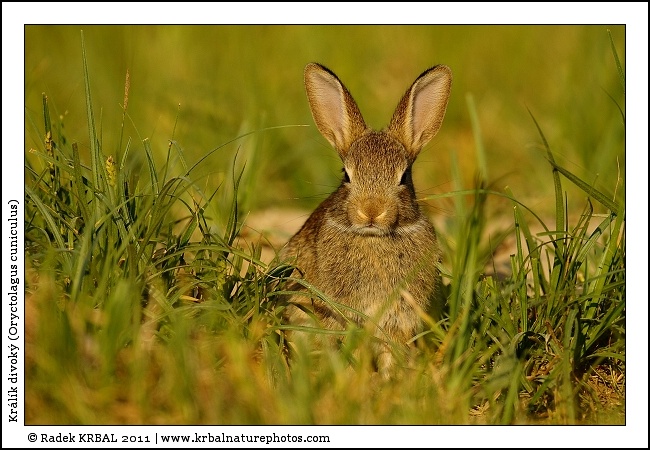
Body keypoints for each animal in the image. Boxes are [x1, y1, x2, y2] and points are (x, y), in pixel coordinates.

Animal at [281, 62, 452, 376]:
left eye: (404, 177)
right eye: (346, 175)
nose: (371, 211)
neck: (373, 239)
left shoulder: (398, 320)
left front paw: (389, 380)